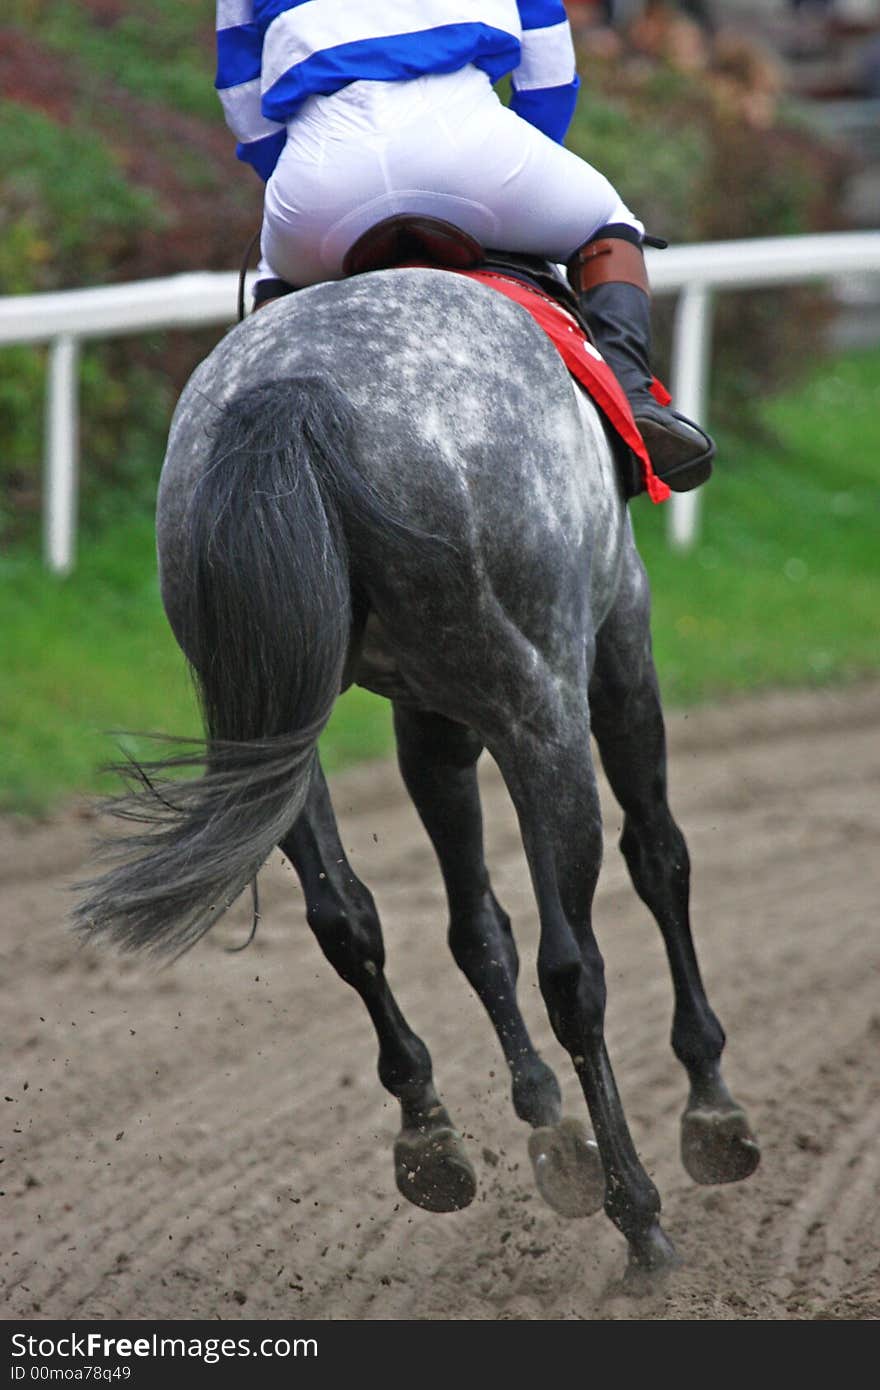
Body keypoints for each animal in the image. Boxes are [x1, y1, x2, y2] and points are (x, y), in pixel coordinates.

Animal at [75, 265, 756, 1284]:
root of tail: (298, 392)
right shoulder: (617, 635)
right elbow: (658, 859)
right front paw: (709, 1104)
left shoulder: (426, 713)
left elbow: (472, 925)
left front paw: (545, 1124)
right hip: (538, 707)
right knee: (575, 966)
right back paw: (637, 1213)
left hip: (270, 726)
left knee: (347, 919)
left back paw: (432, 1139)